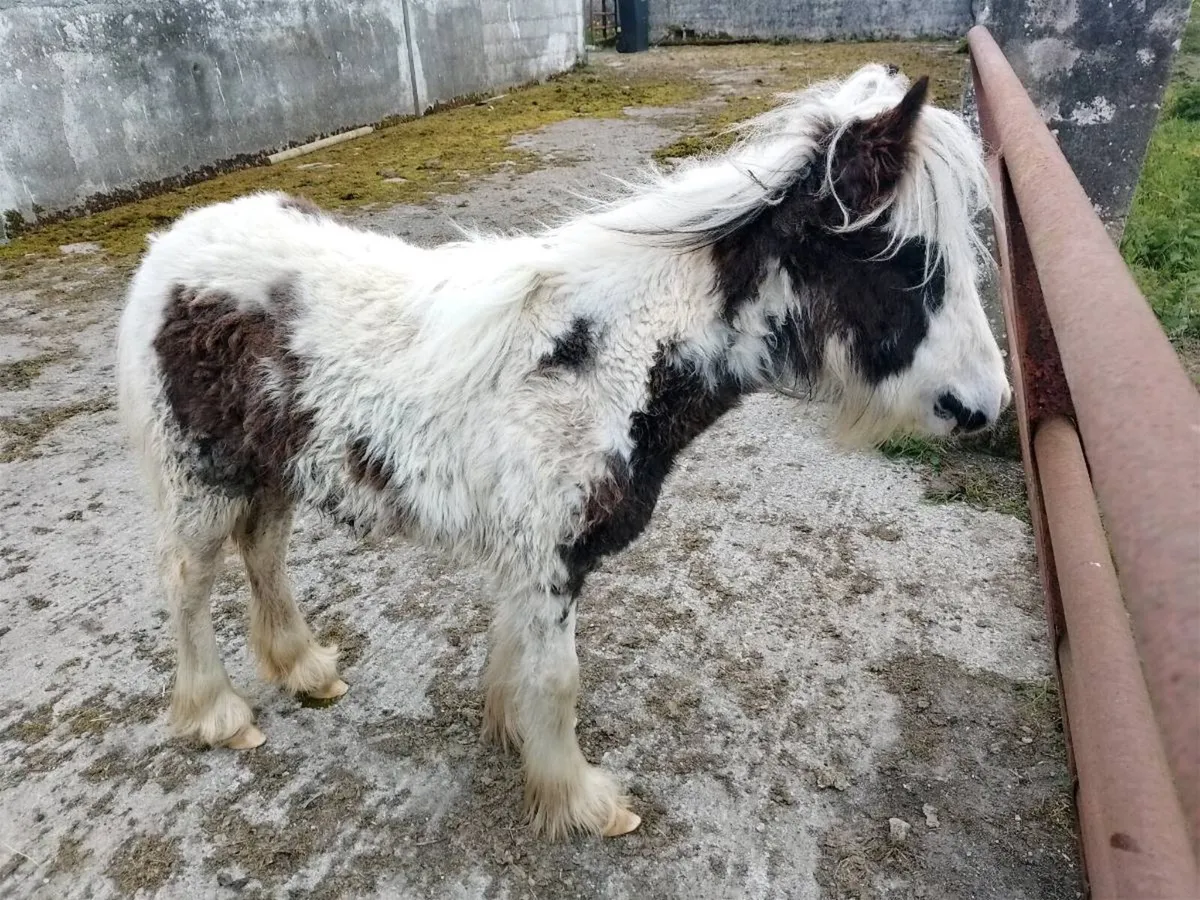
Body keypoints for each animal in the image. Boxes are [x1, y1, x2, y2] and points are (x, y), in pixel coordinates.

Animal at [116, 64, 1010, 839]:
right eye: (907, 260)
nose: (988, 406)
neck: (612, 355)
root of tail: (172, 249)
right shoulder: (546, 554)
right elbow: (559, 678)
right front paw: (582, 800)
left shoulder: (529, 558)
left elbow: (519, 657)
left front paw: (515, 738)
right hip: (199, 477)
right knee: (187, 583)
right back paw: (216, 713)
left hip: (267, 470)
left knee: (263, 552)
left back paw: (303, 667)